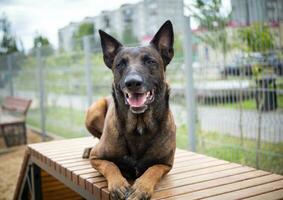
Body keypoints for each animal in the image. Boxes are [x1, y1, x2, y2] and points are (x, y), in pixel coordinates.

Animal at [85, 20, 176, 200]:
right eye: (120, 64)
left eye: (150, 61)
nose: (132, 82)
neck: (139, 124)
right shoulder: (96, 158)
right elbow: (111, 166)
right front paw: (118, 184)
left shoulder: (165, 164)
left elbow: (152, 170)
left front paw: (141, 188)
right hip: (94, 111)